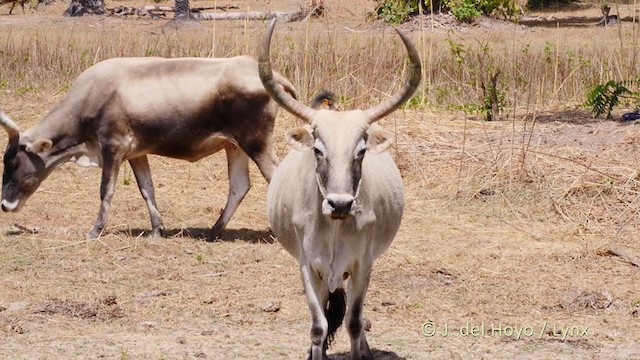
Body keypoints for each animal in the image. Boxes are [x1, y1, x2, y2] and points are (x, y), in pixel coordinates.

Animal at [0, 56, 298, 239]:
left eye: (13, 162)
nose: (5, 205)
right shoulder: (137, 153)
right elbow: (147, 189)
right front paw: (157, 229)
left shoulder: (112, 148)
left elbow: (106, 191)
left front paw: (95, 230)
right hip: (234, 146)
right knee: (238, 186)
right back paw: (213, 232)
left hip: (257, 143)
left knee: (273, 178)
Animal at [258, 19, 422, 360]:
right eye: (318, 150)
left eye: (360, 152)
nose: (341, 205)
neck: (334, 227)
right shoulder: (308, 266)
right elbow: (318, 326)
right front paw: (314, 350)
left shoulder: (363, 265)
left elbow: (355, 322)